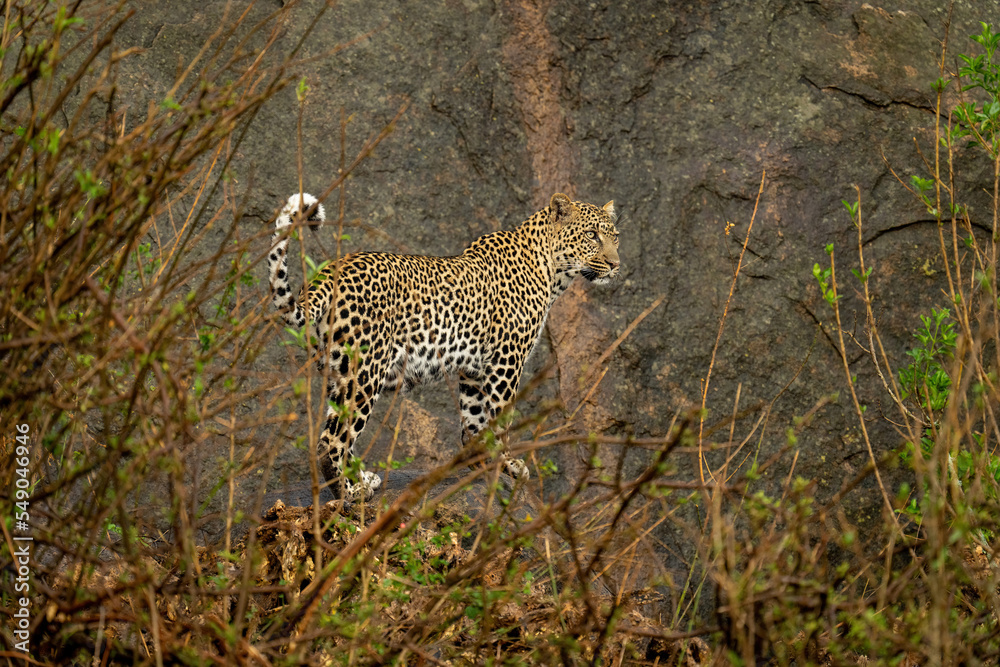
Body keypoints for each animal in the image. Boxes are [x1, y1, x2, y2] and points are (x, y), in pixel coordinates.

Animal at [268, 192, 621, 501]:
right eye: (591, 235)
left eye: (615, 237)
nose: (615, 264)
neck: (552, 272)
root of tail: (328, 273)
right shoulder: (506, 361)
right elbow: (500, 416)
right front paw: (507, 462)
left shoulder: (474, 369)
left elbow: (475, 418)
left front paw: (482, 460)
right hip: (365, 371)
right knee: (331, 442)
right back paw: (351, 494)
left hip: (340, 371)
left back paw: (362, 480)